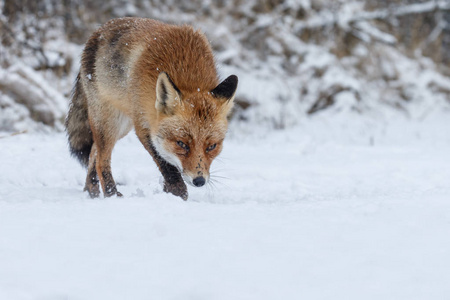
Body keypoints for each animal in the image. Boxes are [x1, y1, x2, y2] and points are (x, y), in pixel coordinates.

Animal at [66, 17, 239, 200]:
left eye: (212, 146)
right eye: (181, 144)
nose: (199, 181)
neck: (189, 75)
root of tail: (99, 29)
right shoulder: (143, 124)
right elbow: (166, 164)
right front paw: (177, 193)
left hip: (122, 126)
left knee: (94, 151)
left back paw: (91, 190)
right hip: (110, 122)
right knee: (101, 161)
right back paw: (111, 195)